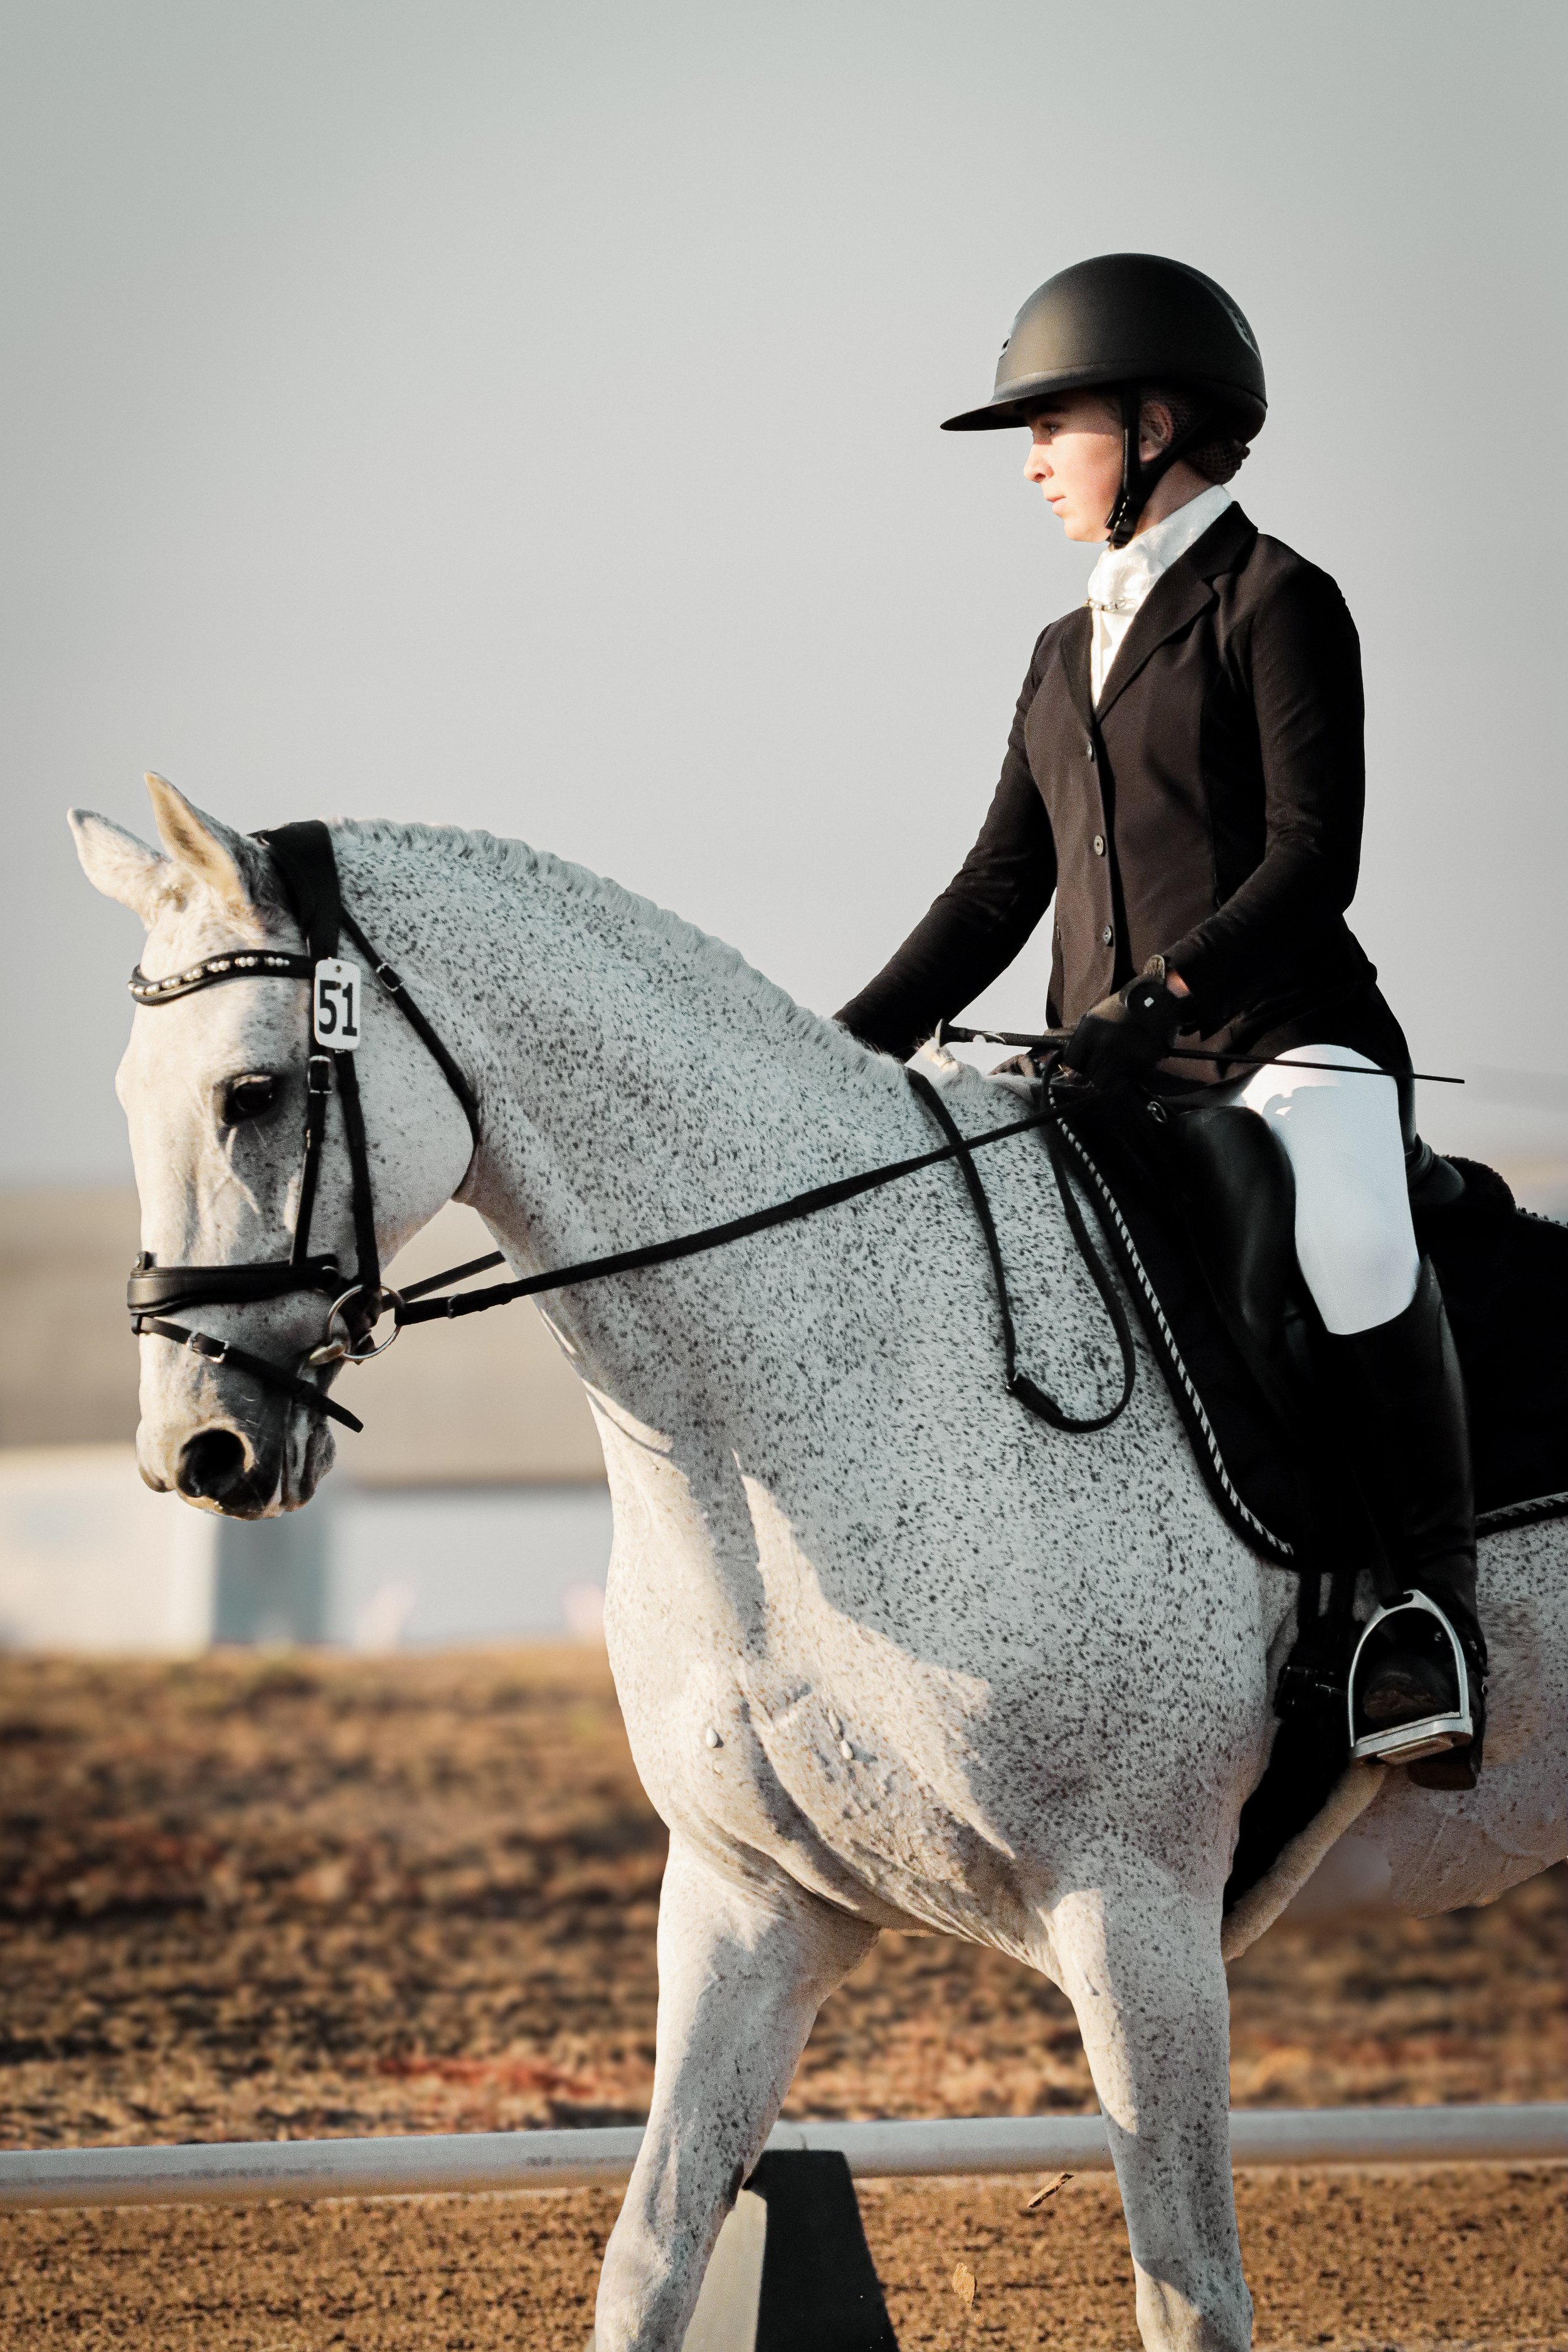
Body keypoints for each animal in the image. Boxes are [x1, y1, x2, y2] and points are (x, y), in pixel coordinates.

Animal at [72, 777, 1566, 2352]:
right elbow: (651, 2250)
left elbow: (1190, 2294)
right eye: (126, 1096)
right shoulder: (748, 1901)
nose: (196, 1449)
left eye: (251, 1094)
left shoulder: (1136, 1908)